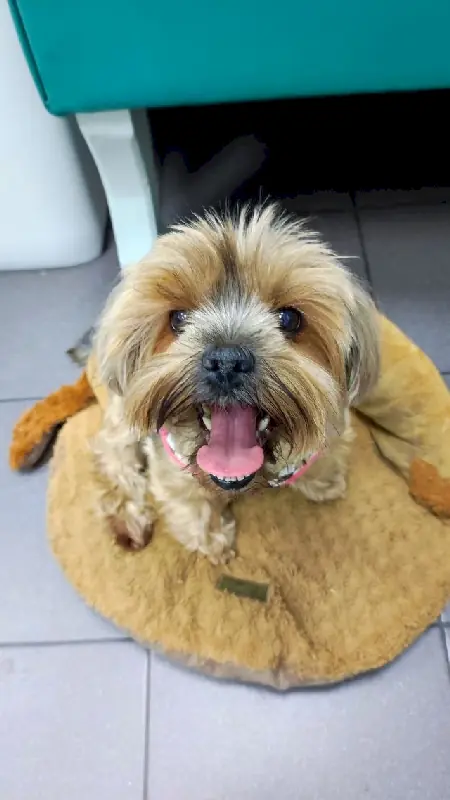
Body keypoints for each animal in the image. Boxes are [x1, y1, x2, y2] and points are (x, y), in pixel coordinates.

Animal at [93, 204, 380, 563]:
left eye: (290, 318)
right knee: (117, 462)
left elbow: (326, 453)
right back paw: (128, 519)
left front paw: (324, 481)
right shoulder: (173, 470)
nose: (227, 360)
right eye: (178, 319)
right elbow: (192, 505)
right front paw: (213, 542)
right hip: (123, 420)